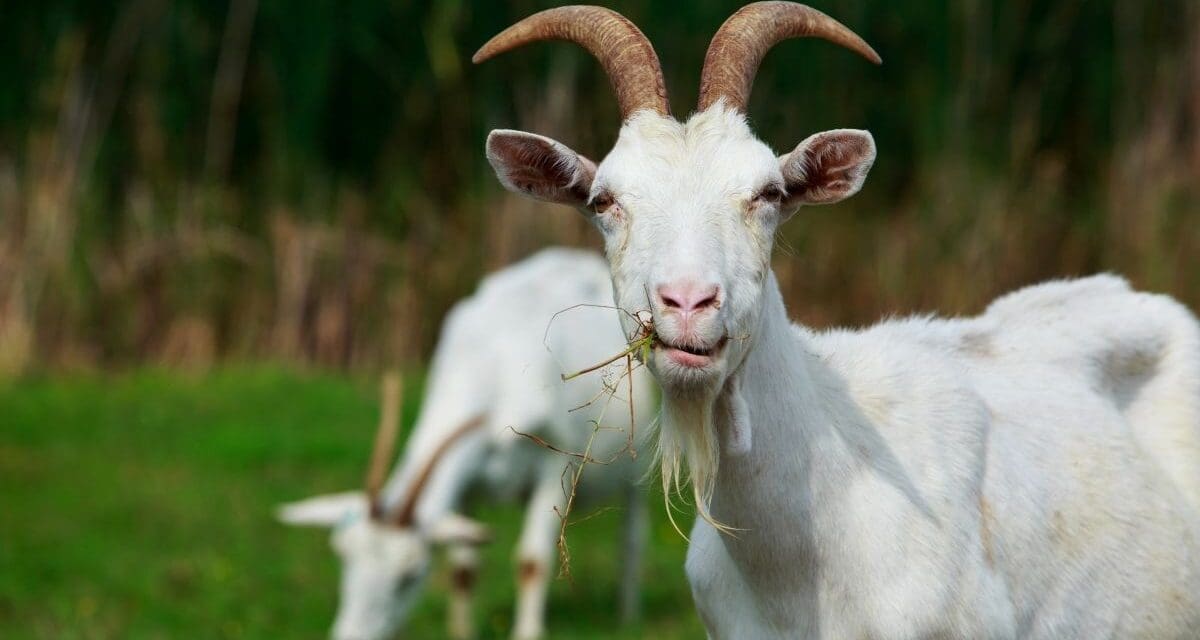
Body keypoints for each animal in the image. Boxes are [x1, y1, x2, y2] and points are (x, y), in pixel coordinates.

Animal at [278, 248, 656, 640]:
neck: (491, 360)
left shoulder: (555, 465)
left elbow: (532, 561)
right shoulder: (468, 483)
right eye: (344, 559)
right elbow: (463, 570)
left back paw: (628, 616)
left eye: (410, 576)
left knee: (631, 536)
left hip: (636, 462)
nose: (350, 636)